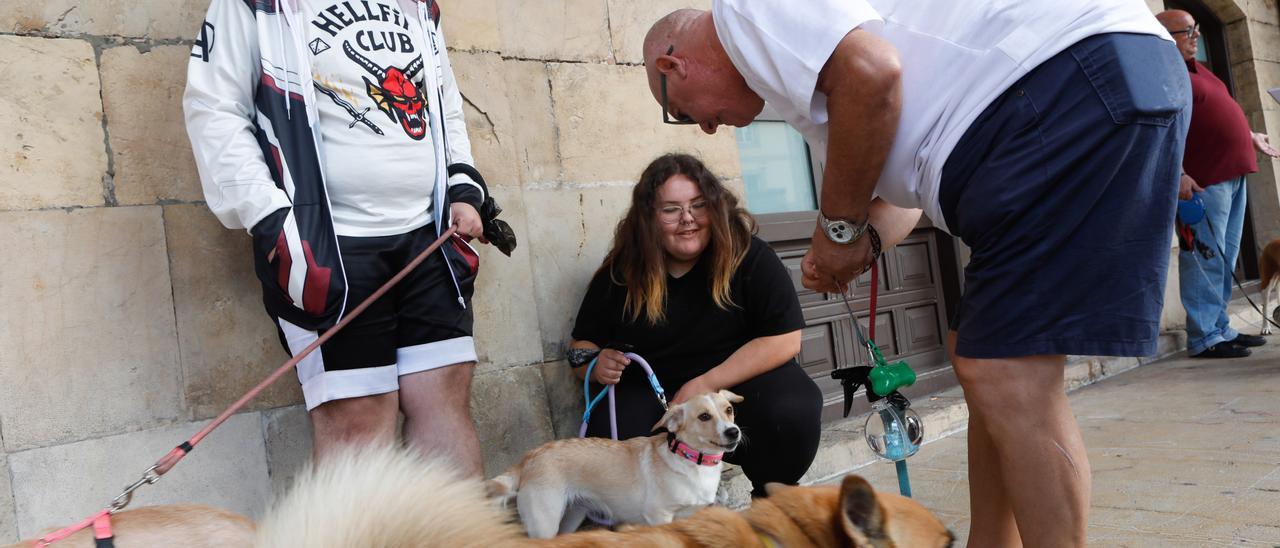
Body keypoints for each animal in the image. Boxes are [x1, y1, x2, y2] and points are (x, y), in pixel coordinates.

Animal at [488, 389, 747, 540]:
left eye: (729, 410)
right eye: (704, 416)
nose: (733, 432)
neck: (691, 461)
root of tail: (529, 458)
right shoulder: (659, 516)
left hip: (571, 517)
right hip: (544, 524)